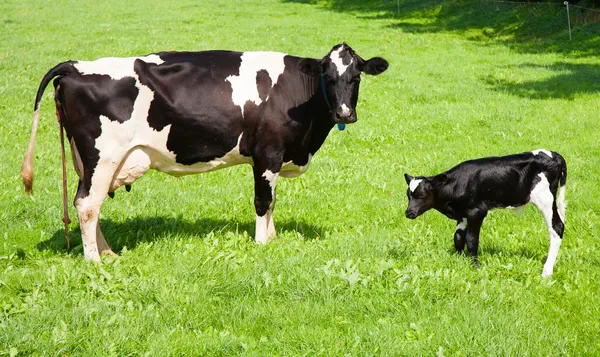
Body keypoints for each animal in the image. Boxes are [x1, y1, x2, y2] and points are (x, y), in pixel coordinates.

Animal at [21, 43, 390, 262]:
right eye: (328, 75)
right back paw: (95, 261)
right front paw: (262, 243)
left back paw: (107, 252)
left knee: (86, 202)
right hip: (102, 156)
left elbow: (273, 201)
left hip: (90, 162)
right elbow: (263, 200)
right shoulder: (267, 152)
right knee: (87, 205)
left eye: (356, 76)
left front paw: (272, 238)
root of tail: (75, 66)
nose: (344, 113)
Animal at [404, 149, 568, 276]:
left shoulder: (477, 212)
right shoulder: (463, 215)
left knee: (557, 227)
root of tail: (554, 154)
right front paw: (458, 260)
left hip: (545, 200)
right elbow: (458, 237)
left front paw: (476, 268)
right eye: (408, 195)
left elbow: (471, 240)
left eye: (421, 195)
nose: (408, 213)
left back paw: (546, 272)